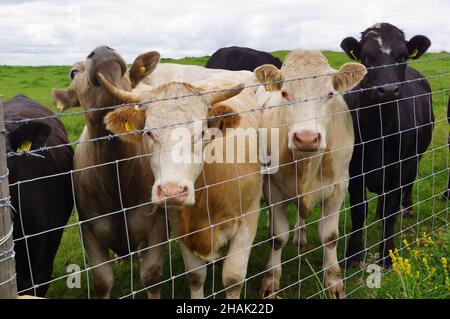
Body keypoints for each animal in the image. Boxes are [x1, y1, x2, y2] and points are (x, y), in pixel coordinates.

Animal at [51, 46, 170, 298]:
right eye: (73, 72)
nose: (103, 50)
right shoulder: (89, 228)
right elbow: (102, 280)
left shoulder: (157, 222)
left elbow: (152, 275)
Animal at [101, 75, 264, 300]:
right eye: (149, 132)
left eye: (202, 132)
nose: (172, 191)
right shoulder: (181, 226)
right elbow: (195, 276)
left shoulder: (249, 217)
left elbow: (233, 279)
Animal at [251, 48, 368, 298]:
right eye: (285, 93)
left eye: (330, 94)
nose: (306, 138)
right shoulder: (273, 188)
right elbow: (277, 237)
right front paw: (271, 279)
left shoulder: (339, 187)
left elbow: (330, 237)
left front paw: (334, 281)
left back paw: (301, 236)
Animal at [342, 22, 436, 266]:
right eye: (365, 57)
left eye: (402, 56)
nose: (388, 90)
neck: (379, 133)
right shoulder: (354, 170)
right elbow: (359, 211)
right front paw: (353, 255)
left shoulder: (400, 167)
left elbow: (390, 210)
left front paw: (387, 255)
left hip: (416, 157)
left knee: (408, 186)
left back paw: (408, 210)